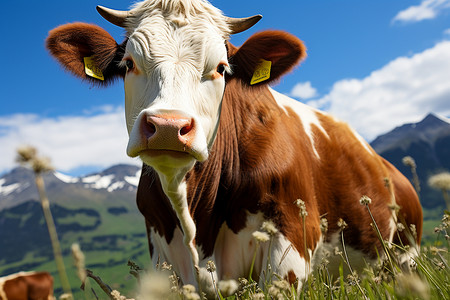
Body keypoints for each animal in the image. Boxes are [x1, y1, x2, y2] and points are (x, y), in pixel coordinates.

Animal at [45, 0, 422, 296]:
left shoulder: (290, 243)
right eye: (128, 64)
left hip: (407, 254)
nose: (167, 127)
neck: (196, 221)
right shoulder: (163, 258)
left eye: (221, 68)